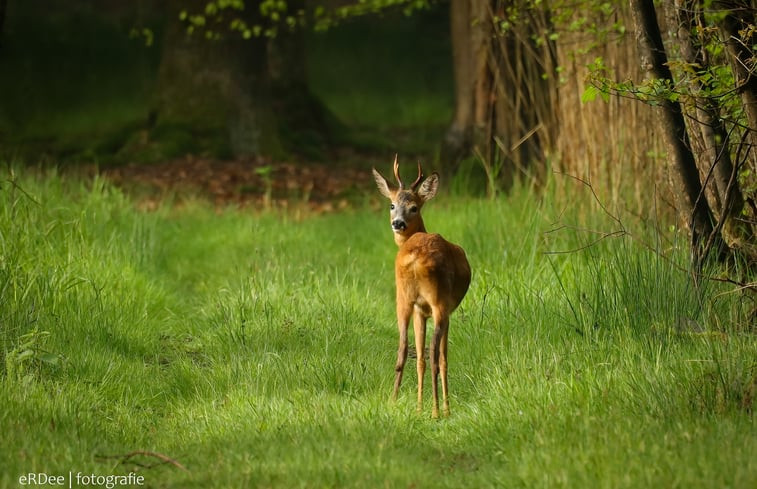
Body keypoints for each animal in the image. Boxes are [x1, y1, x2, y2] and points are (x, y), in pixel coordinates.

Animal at [370, 155, 470, 416]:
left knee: (403, 350)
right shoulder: (443, 310)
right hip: (439, 301)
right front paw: (443, 408)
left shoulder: (418, 311)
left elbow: (419, 358)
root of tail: (415, 259)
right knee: (435, 355)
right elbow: (442, 357)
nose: (398, 223)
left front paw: (417, 406)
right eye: (392, 205)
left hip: (403, 299)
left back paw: (394, 401)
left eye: (413, 207)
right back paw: (437, 412)